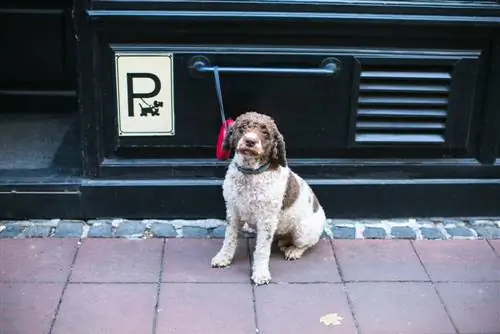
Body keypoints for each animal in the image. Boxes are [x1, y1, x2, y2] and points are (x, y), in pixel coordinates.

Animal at [210, 111, 324, 284]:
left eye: (265, 132)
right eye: (242, 127)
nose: (250, 141)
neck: (250, 173)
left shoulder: (267, 220)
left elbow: (262, 249)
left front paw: (260, 273)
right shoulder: (232, 211)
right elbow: (229, 238)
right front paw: (223, 258)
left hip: (302, 231)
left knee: (306, 244)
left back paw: (294, 250)